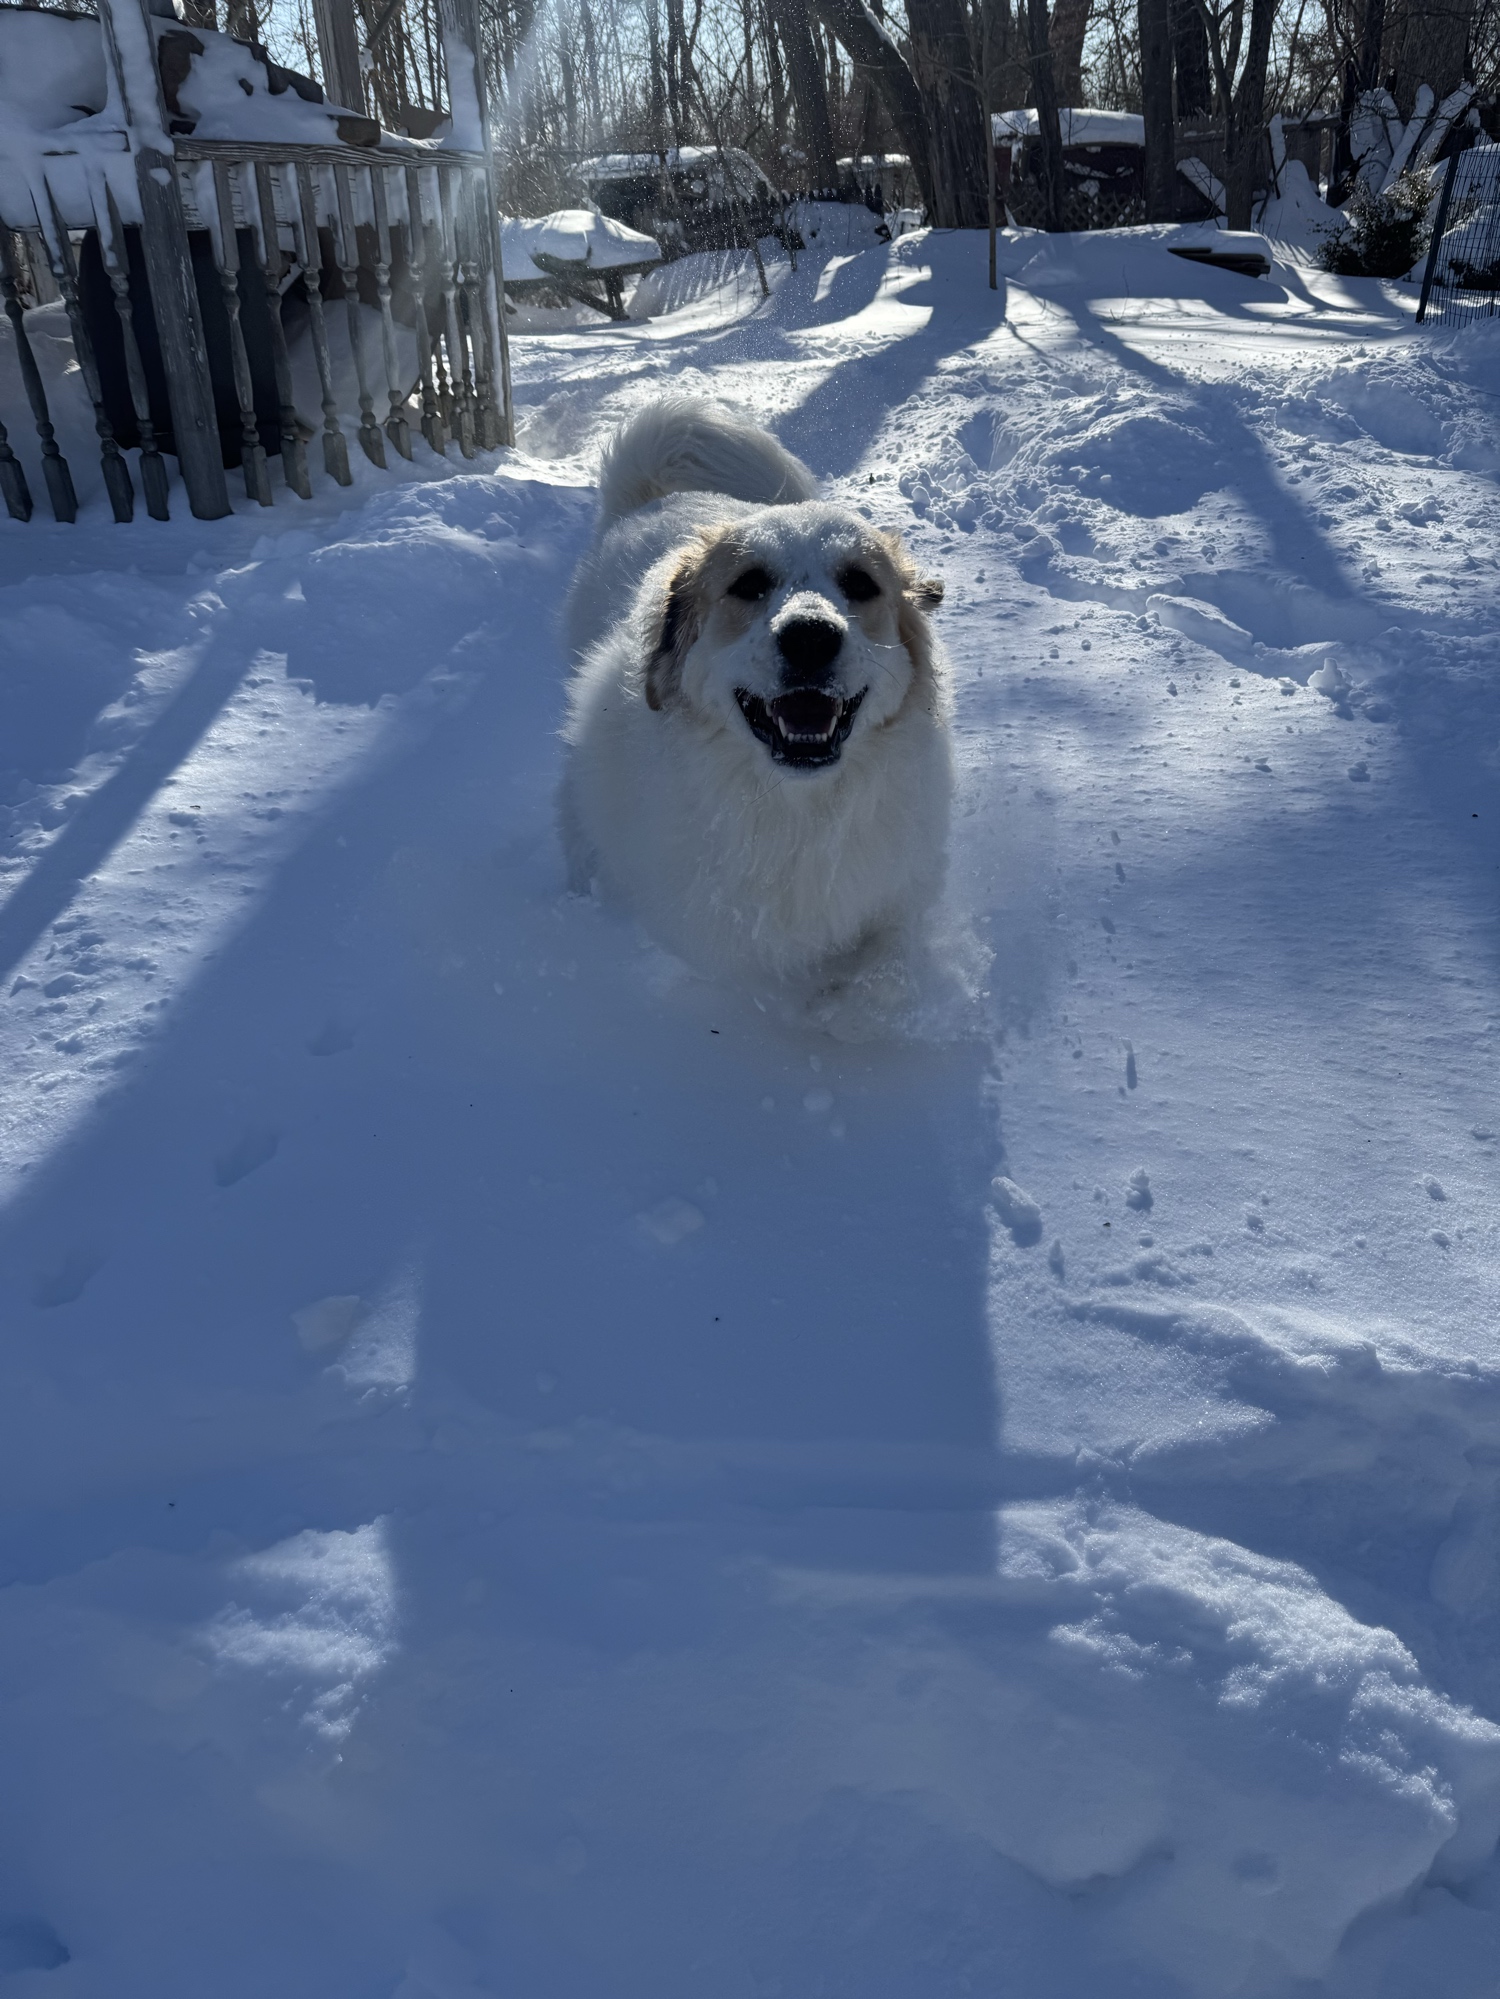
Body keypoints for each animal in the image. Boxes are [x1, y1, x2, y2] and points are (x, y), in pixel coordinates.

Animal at [560, 400, 951, 990]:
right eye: (748, 584)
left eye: (860, 584)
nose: (810, 636)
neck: (798, 813)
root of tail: (658, 495)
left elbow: (876, 964)